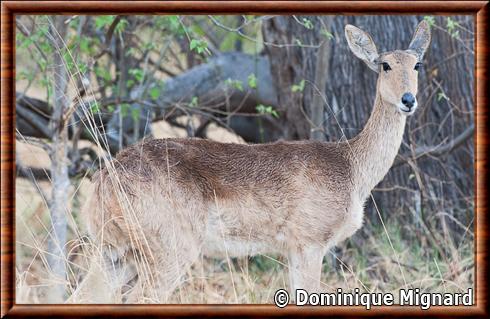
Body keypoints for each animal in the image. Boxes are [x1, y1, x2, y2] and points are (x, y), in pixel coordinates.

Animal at [72, 20, 428, 304]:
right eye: (385, 65)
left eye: (417, 65)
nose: (408, 99)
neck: (352, 168)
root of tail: (104, 182)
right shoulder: (310, 242)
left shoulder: (292, 251)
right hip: (169, 249)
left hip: (114, 252)